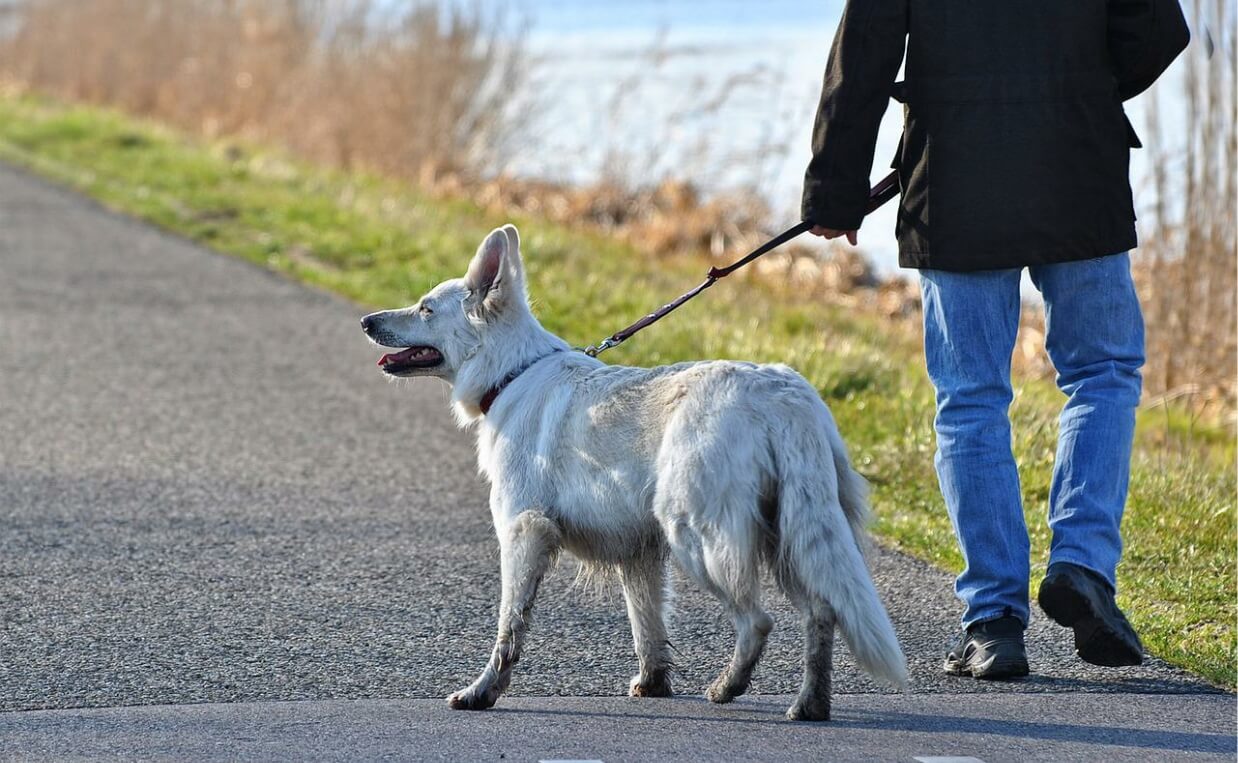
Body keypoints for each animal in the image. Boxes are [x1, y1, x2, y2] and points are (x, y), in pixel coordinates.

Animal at [361, 222, 906, 718]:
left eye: (426, 308)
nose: (366, 320)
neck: (511, 373)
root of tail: (783, 394)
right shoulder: (639, 554)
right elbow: (648, 627)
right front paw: (654, 684)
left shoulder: (523, 533)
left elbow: (509, 625)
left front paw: (483, 692)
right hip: (789, 537)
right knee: (822, 612)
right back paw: (810, 703)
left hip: (699, 538)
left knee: (758, 621)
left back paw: (728, 687)